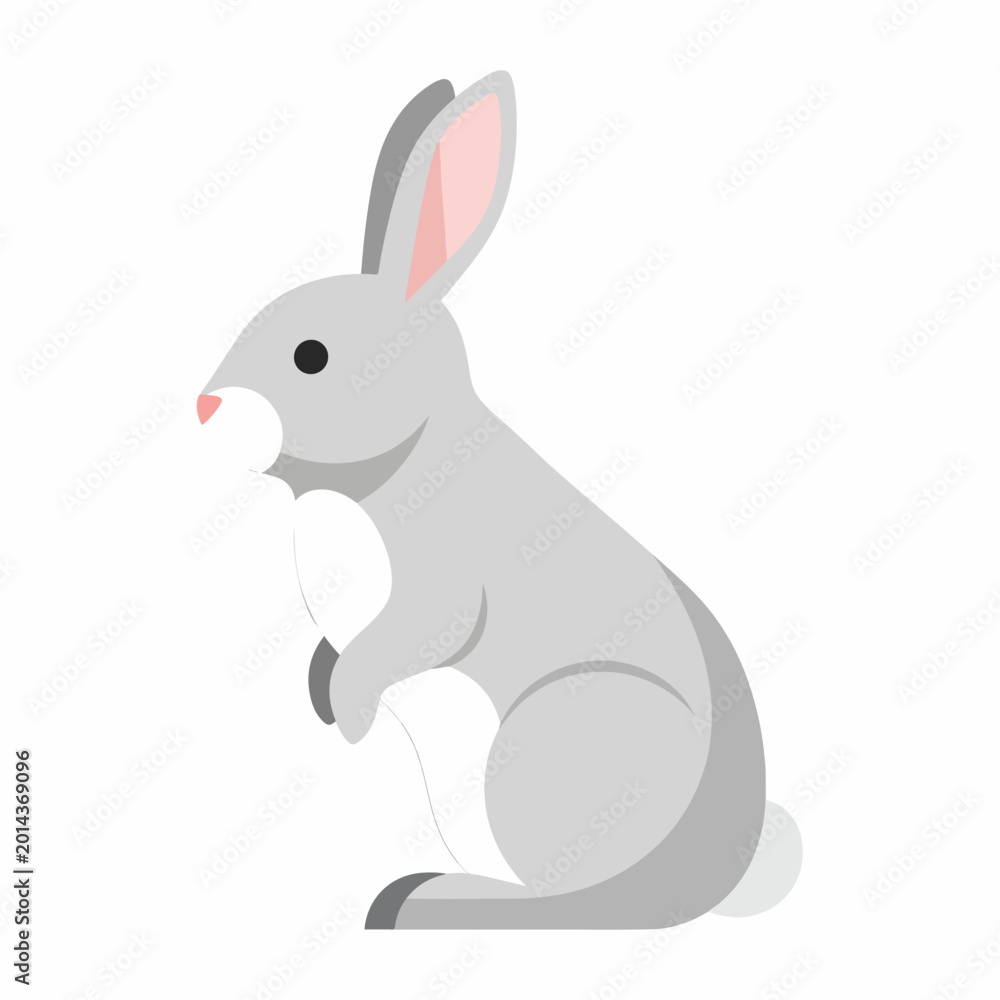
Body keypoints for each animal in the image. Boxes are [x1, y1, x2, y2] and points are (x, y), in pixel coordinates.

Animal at [198, 71, 801, 929]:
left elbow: (405, 642)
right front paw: (320, 694)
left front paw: (349, 717)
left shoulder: (437, 593)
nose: (204, 410)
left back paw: (422, 903)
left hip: (540, 746)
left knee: (582, 904)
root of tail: (721, 873)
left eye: (311, 356)